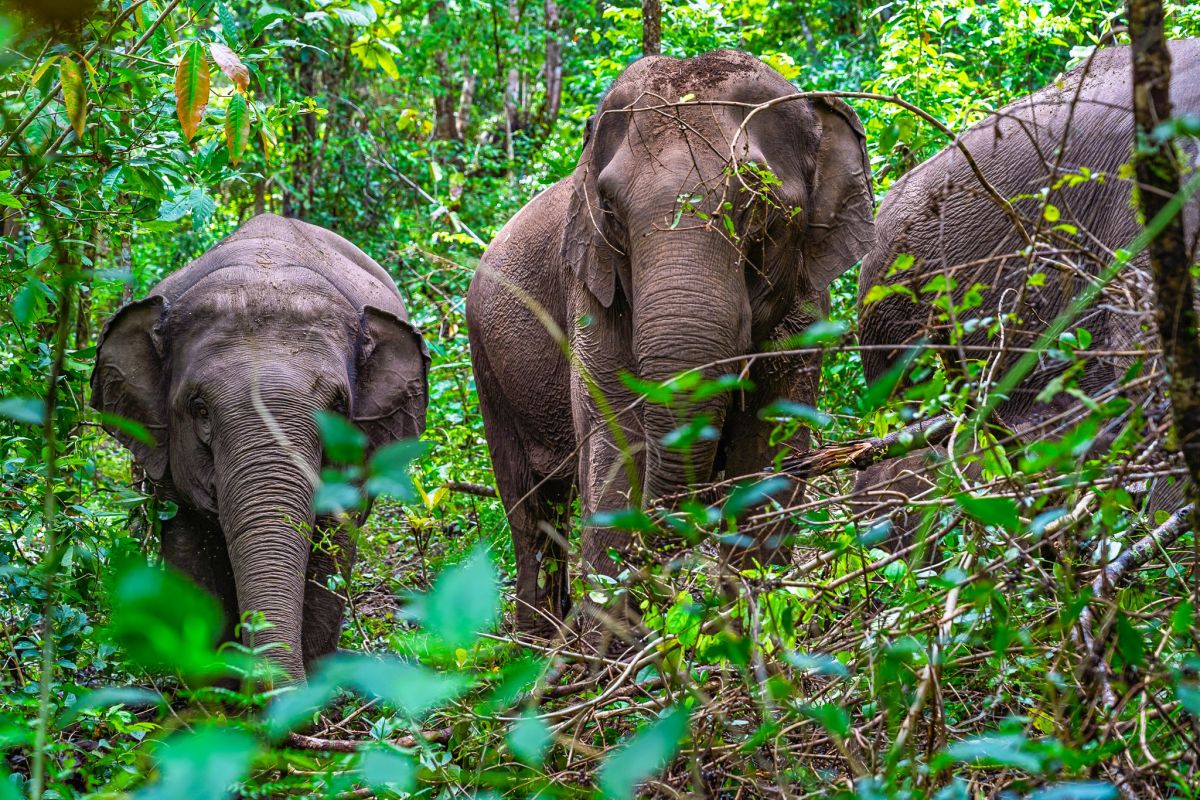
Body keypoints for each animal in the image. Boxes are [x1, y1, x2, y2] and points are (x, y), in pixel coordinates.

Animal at [466, 50, 875, 638]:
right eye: (609, 208)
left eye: (757, 203)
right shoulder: (591, 290)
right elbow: (619, 439)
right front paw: (617, 656)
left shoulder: (805, 304)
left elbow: (771, 449)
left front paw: (750, 635)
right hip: (488, 366)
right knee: (530, 507)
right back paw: (537, 642)